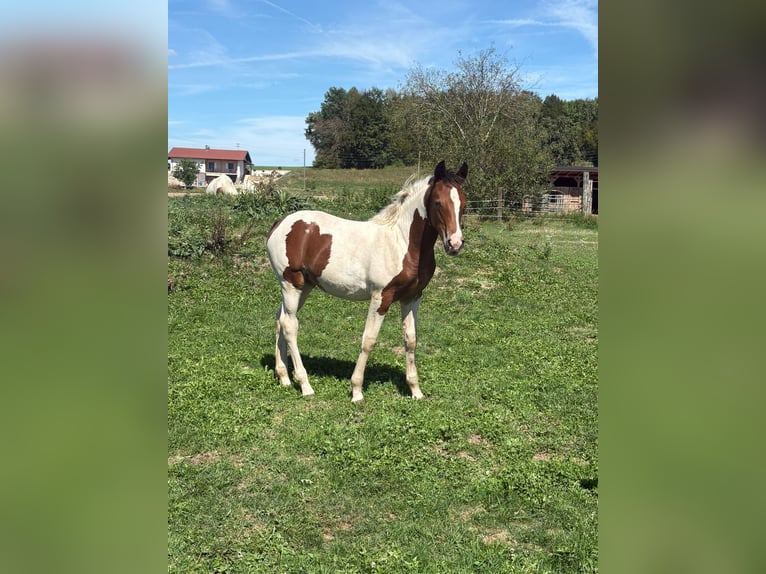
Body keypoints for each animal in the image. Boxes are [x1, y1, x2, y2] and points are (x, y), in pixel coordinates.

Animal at [265, 160, 468, 402]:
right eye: (438, 203)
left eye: (464, 204)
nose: (455, 244)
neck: (402, 243)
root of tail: (280, 223)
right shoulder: (381, 296)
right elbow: (369, 340)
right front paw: (356, 391)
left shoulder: (412, 297)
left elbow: (410, 339)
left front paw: (415, 391)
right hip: (291, 284)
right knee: (290, 325)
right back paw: (305, 385)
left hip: (304, 287)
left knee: (280, 318)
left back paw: (284, 377)